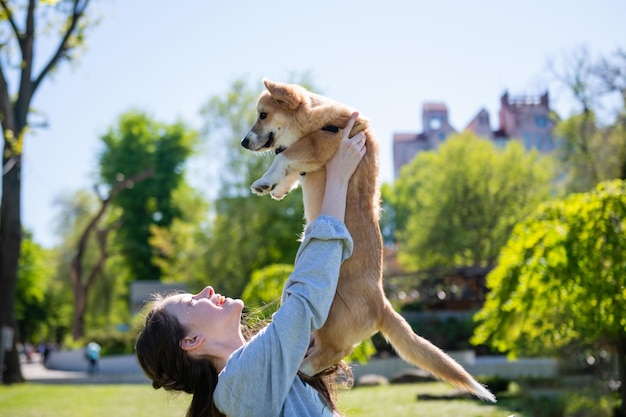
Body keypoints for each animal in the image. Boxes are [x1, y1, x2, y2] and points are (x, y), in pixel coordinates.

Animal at [241, 79, 494, 404]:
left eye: (263, 115)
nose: (244, 143)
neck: (318, 118)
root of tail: (381, 303)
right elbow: (289, 168)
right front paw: (275, 188)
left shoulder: (319, 144)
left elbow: (285, 156)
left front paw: (264, 181)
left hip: (330, 317)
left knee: (335, 350)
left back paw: (303, 368)